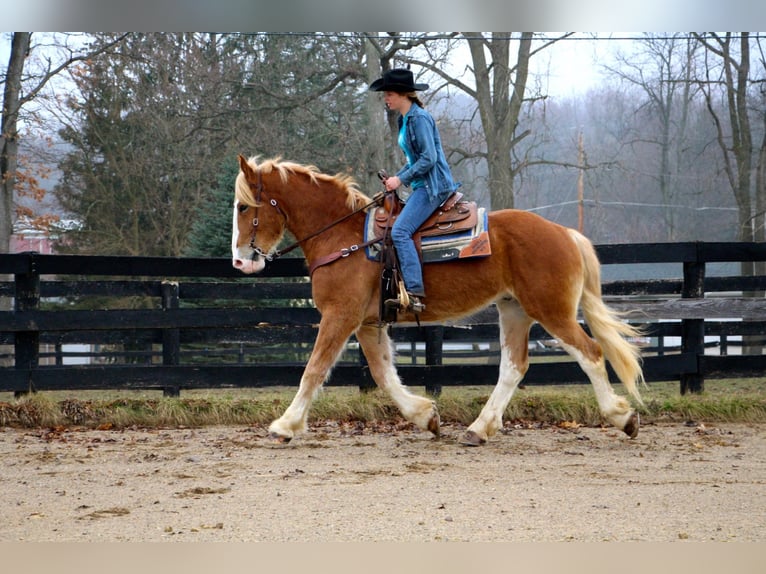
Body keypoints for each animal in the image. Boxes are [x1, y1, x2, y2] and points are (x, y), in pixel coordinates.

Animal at [231, 155, 644, 448]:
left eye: (242, 207)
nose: (239, 261)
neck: (344, 237)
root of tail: (566, 233)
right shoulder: (367, 323)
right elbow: (383, 373)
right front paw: (424, 415)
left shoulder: (340, 316)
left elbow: (314, 369)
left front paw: (285, 425)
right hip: (514, 310)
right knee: (513, 367)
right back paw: (479, 429)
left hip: (551, 312)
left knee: (590, 353)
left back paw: (621, 417)